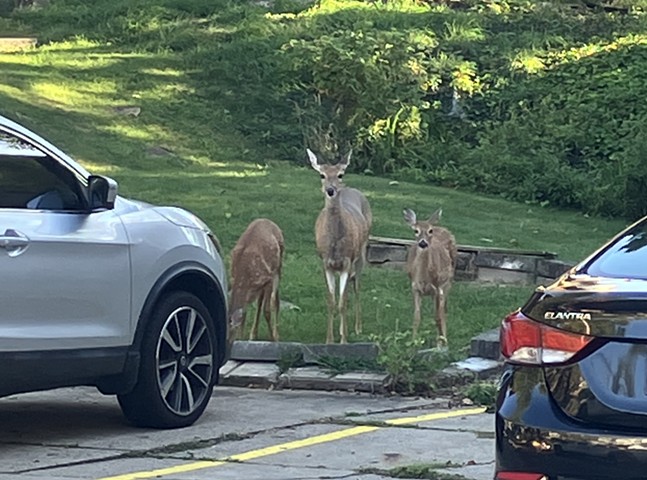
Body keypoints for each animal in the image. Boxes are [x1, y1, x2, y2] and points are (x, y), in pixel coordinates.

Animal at [310, 148, 374, 344]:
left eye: (340, 174)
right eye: (322, 175)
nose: (331, 190)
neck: (335, 244)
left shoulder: (347, 261)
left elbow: (343, 302)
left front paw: (344, 340)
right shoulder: (326, 263)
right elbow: (332, 302)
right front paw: (329, 340)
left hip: (361, 252)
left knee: (357, 286)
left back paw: (358, 327)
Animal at [402, 208, 458, 346]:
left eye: (430, 231)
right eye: (415, 231)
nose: (423, 243)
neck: (424, 278)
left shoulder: (437, 288)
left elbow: (438, 316)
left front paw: (441, 344)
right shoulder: (415, 288)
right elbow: (416, 316)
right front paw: (413, 342)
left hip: (448, 282)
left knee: (442, 312)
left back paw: (443, 340)